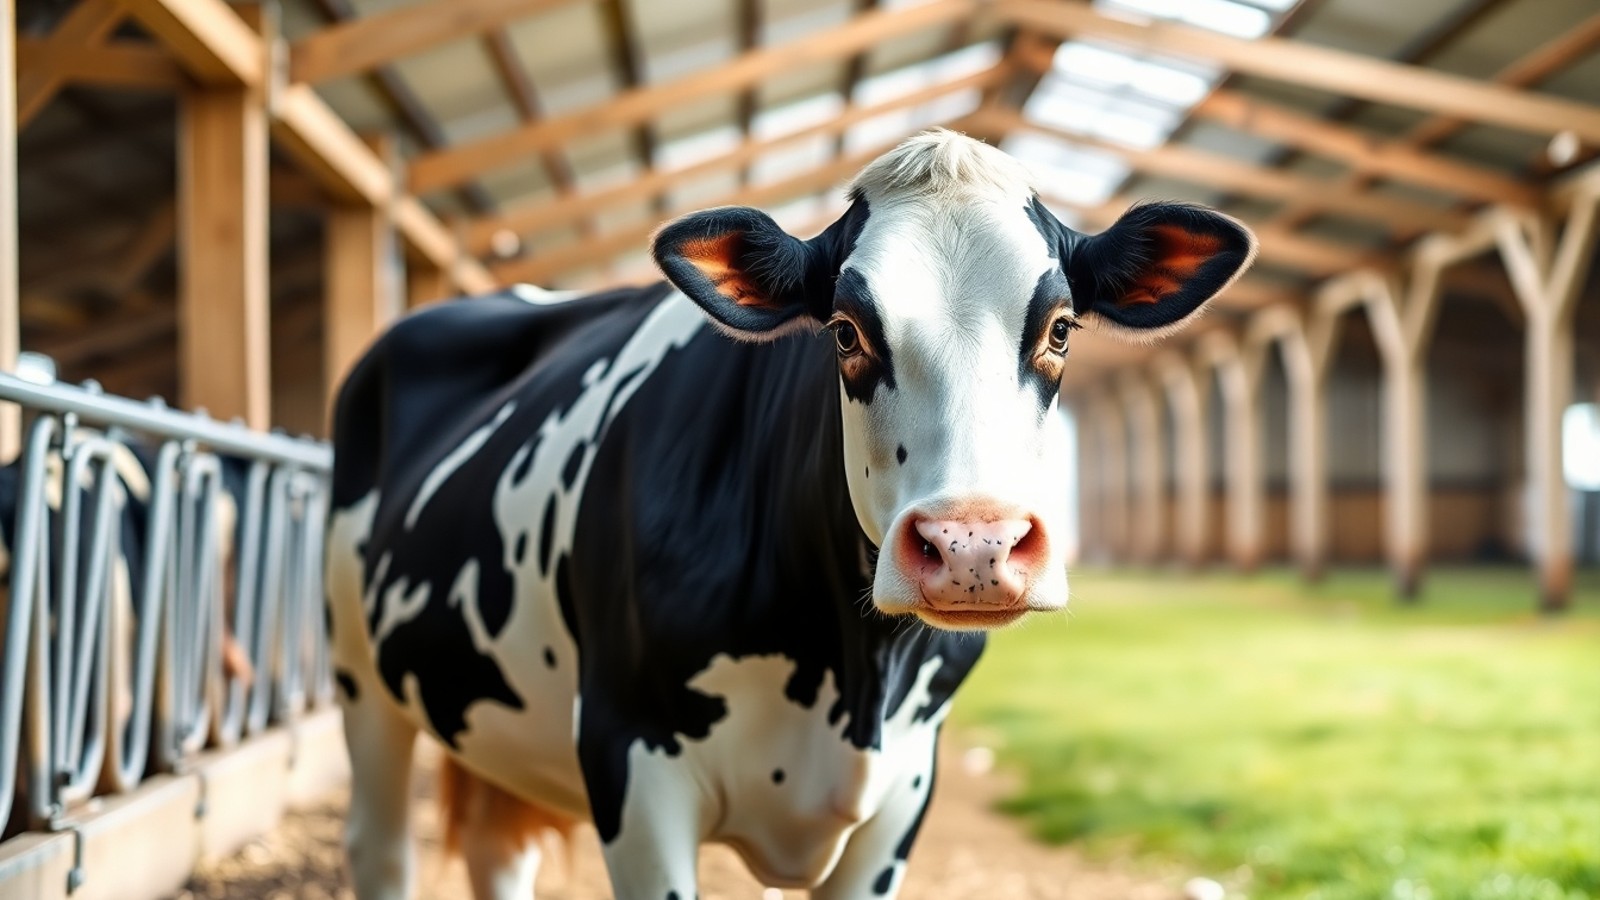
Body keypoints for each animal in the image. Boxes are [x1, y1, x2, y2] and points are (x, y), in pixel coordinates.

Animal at [325, 129, 1255, 900]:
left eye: (1060, 328)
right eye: (844, 330)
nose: (971, 546)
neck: (851, 675)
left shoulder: (903, 793)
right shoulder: (630, 760)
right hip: (360, 679)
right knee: (381, 851)